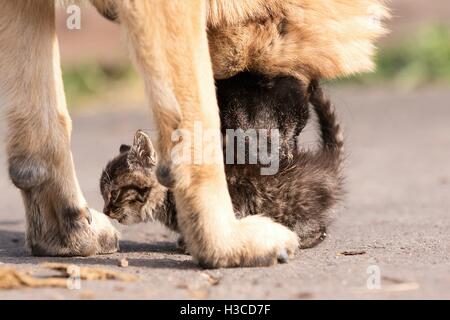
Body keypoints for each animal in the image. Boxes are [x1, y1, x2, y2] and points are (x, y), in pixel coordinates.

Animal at [100, 74, 342, 248]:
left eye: (114, 192)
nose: (105, 211)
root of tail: (325, 163)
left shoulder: (235, 199)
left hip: (284, 203)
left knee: (319, 229)